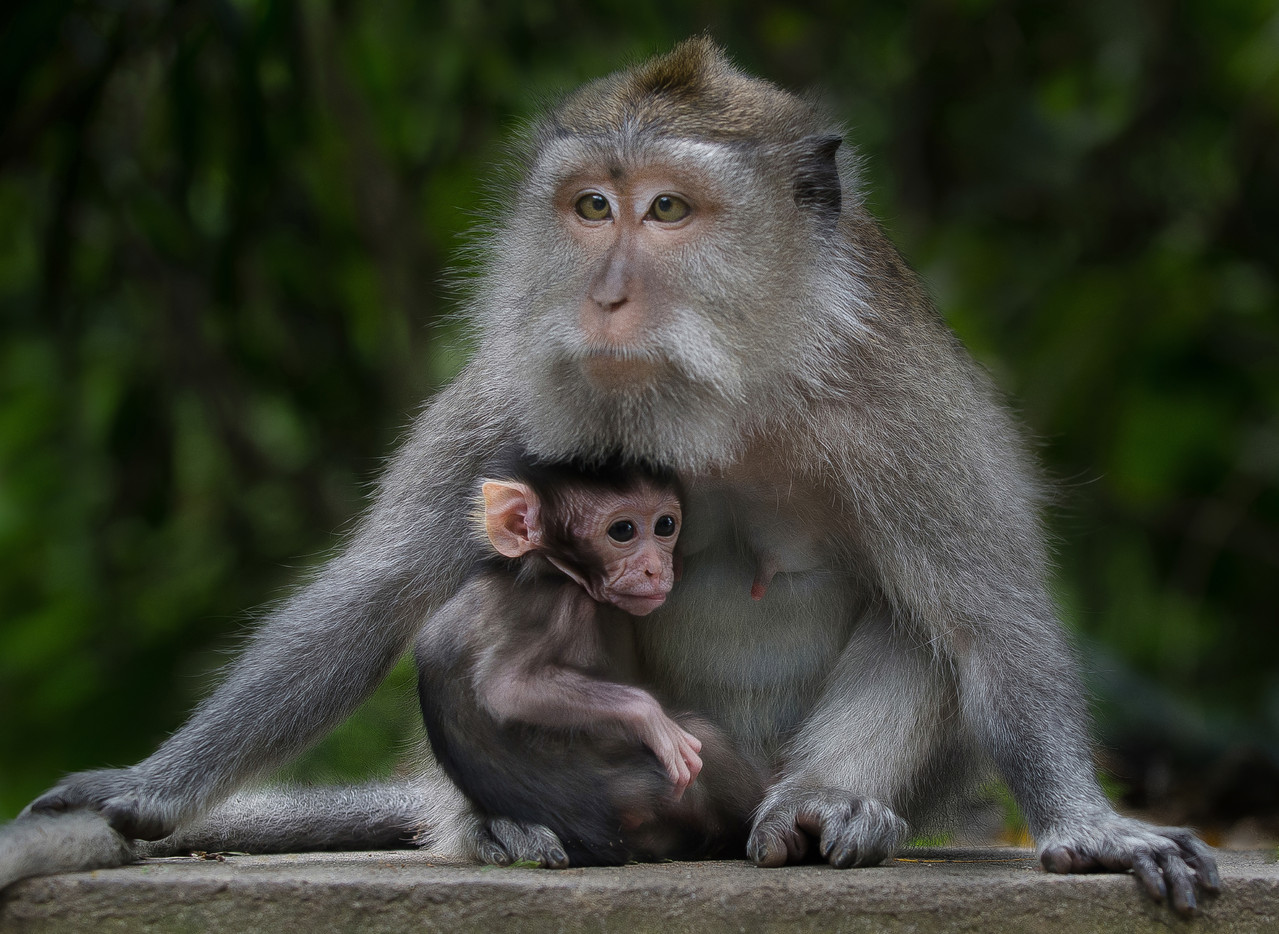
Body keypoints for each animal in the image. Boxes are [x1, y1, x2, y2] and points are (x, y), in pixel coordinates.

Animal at [414, 460, 762, 864]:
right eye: (623, 531)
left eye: (665, 525)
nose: (655, 569)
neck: (548, 569)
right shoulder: (562, 604)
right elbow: (506, 688)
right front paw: (649, 717)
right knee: (702, 737)